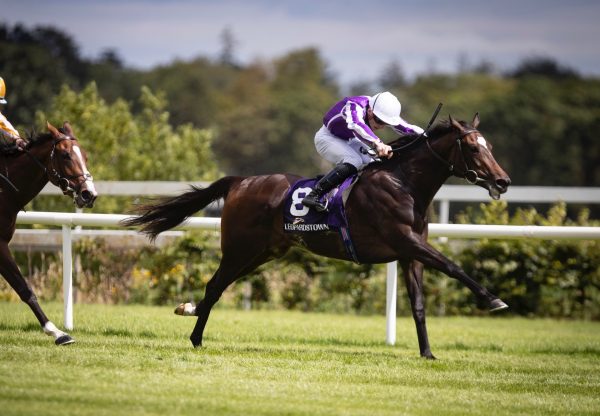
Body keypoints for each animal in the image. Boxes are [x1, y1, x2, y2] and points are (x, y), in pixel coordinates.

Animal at [0, 122, 96, 344]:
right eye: (66, 155)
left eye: (85, 156)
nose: (89, 194)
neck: (4, 191)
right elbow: (24, 289)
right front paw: (56, 332)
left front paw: (58, 332)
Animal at [126, 114, 510, 358]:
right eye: (473, 148)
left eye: (490, 146)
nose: (503, 181)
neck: (404, 184)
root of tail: (240, 182)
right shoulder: (407, 241)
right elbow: (452, 266)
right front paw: (493, 299)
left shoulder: (409, 253)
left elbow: (418, 305)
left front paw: (428, 354)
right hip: (239, 248)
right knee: (215, 285)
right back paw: (195, 336)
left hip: (264, 252)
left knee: (217, 286)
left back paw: (190, 312)